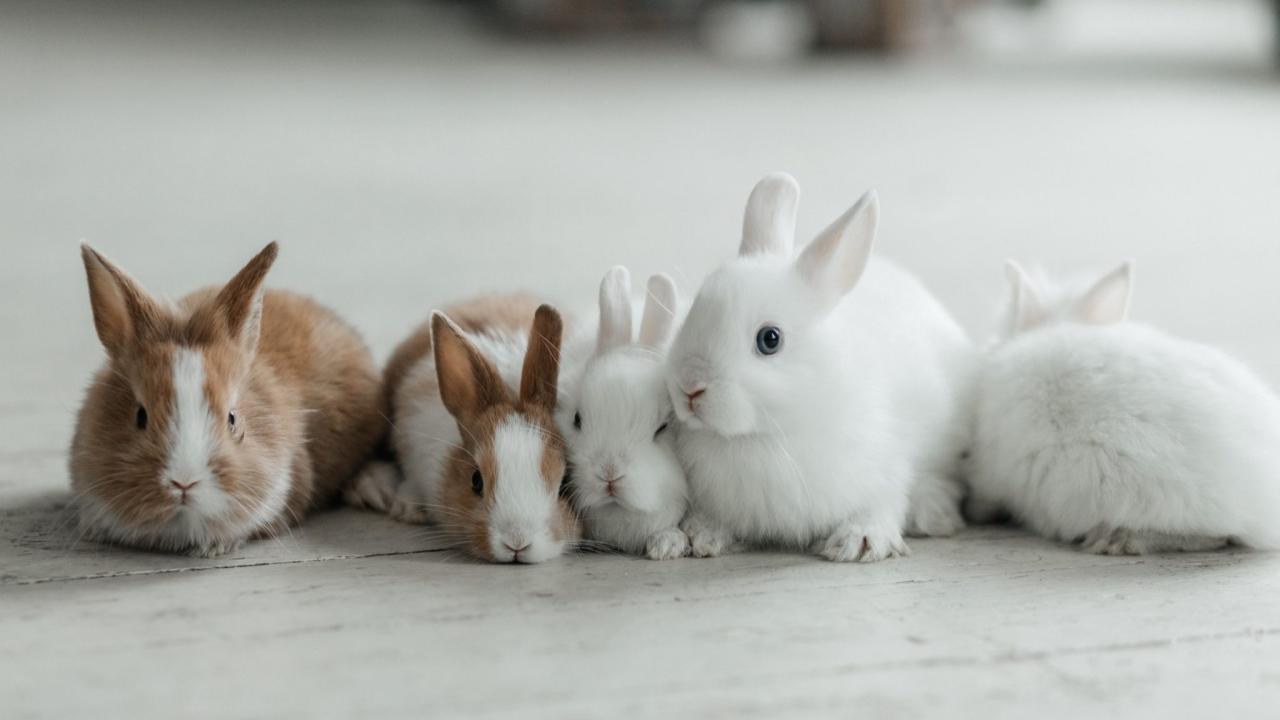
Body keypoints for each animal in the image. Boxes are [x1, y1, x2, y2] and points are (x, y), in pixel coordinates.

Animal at [666, 173, 977, 563]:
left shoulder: (886, 471)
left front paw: (859, 541)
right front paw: (703, 533)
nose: (690, 385)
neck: (762, 436)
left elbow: (883, 504)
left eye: (770, 339)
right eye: (693, 312)